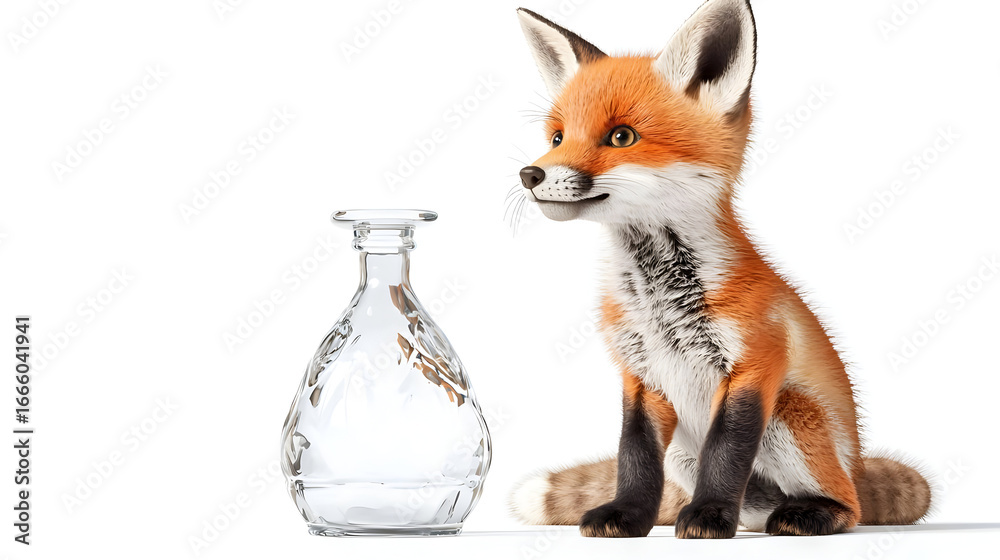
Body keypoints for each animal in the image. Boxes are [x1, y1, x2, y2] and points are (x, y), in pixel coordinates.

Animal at [508, 0, 931, 538]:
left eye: (621, 136)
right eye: (557, 137)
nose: (530, 174)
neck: (659, 300)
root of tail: (857, 465)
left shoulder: (754, 364)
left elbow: (726, 453)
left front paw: (709, 515)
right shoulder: (640, 376)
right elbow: (634, 457)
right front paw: (629, 515)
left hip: (792, 414)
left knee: (848, 503)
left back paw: (810, 511)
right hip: (684, 454)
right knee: (751, 505)